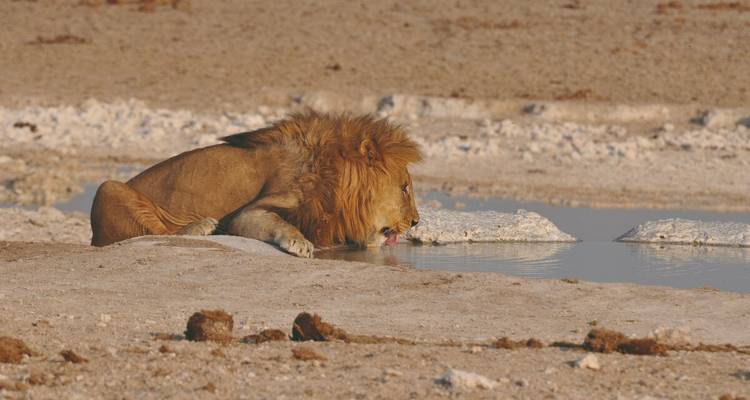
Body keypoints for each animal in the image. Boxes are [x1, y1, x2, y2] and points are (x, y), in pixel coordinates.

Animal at [90, 111, 422, 257]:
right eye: (405, 188)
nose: (416, 222)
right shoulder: (248, 212)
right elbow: (279, 222)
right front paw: (300, 243)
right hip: (107, 187)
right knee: (156, 232)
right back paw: (201, 226)